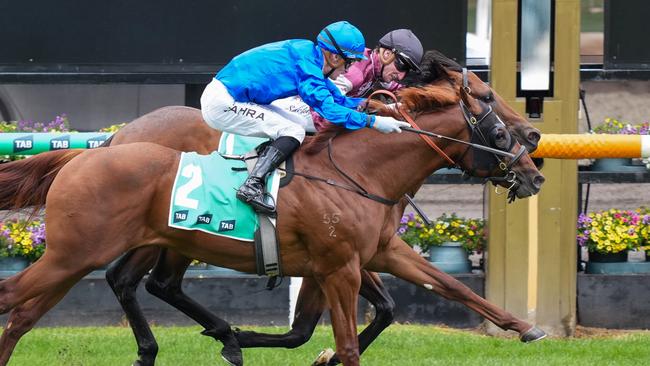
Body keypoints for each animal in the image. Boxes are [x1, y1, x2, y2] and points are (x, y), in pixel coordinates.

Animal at [0, 51, 548, 366]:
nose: (534, 165)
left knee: (85, 296)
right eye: (493, 115)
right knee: (35, 297)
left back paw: (189, 341)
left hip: (125, 249)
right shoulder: (340, 267)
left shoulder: (374, 254)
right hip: (77, 254)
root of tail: (96, 149)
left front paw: (526, 328)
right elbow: (345, 340)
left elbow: (450, 289)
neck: (357, 170)